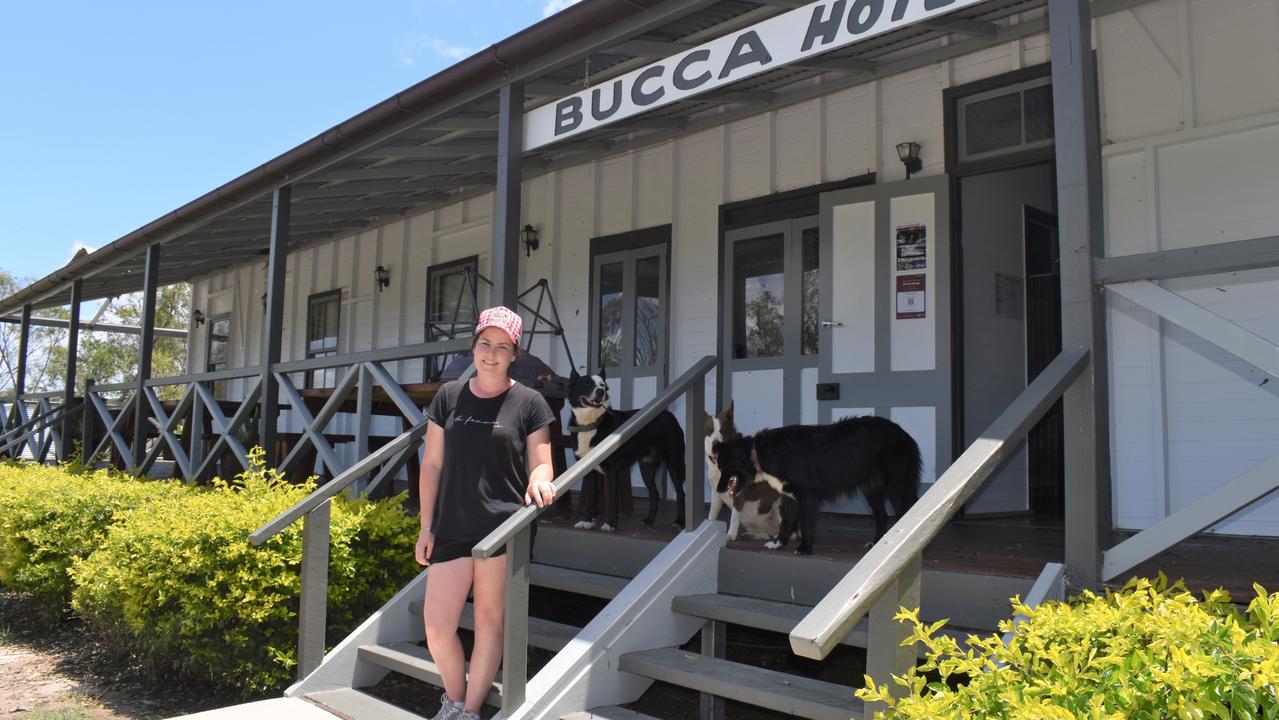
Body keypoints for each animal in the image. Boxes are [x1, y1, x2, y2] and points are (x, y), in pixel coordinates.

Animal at [570, 368, 690, 532]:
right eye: (587, 383)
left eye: (603, 385)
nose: (600, 391)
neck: (591, 424)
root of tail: (669, 414)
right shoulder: (587, 472)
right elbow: (591, 499)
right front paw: (588, 521)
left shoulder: (612, 473)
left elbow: (612, 502)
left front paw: (610, 524)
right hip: (646, 468)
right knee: (654, 494)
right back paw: (649, 520)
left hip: (674, 462)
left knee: (680, 493)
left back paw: (679, 521)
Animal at [706, 399, 782, 542]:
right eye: (709, 432)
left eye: (723, 431)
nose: (715, 444)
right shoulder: (716, 494)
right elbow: (712, 514)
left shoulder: (738, 492)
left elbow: (734, 515)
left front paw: (730, 535)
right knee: (767, 533)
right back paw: (753, 535)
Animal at [711, 414, 920, 555]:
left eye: (722, 466)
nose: (718, 489)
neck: (758, 452)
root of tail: (906, 435)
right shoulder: (791, 496)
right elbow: (787, 522)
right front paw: (778, 543)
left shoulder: (807, 495)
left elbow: (806, 524)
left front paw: (804, 548)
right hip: (872, 489)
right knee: (881, 516)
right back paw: (876, 544)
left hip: (897, 486)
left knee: (905, 511)